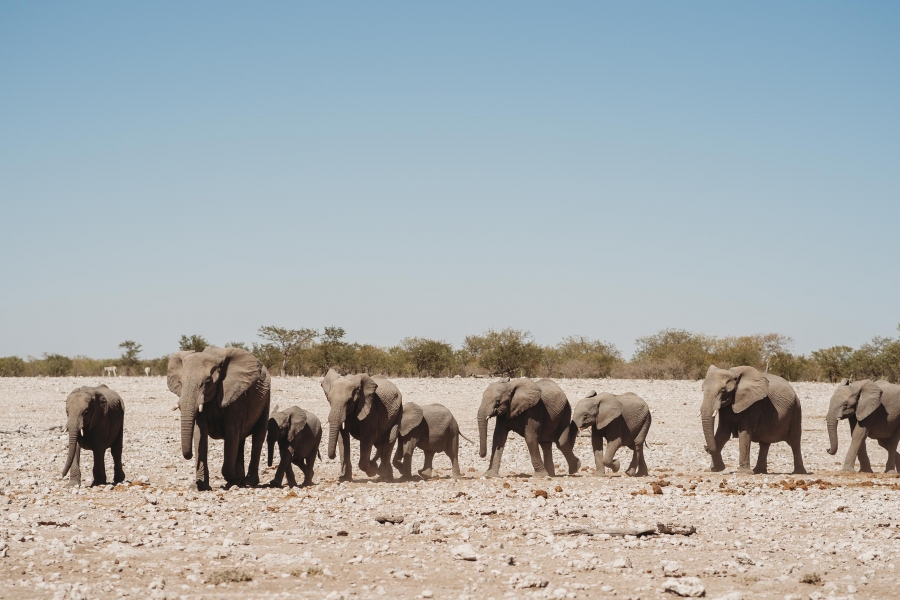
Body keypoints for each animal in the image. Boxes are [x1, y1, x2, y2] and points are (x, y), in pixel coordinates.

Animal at [166, 344, 270, 490]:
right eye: (180, 383)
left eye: (208, 382)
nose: (188, 455)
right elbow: (200, 433)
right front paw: (200, 486)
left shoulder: (237, 396)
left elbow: (232, 432)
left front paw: (236, 476)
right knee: (240, 440)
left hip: (266, 397)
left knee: (258, 437)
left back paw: (248, 481)